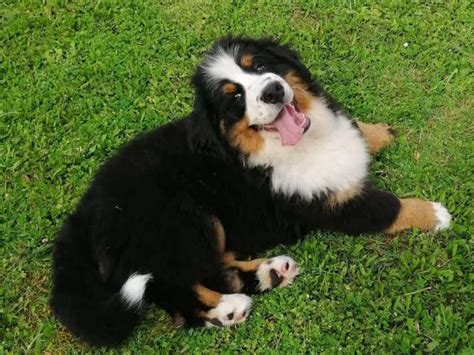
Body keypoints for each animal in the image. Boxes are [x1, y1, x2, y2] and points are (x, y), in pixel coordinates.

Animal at [51, 36, 452, 348]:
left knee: (214, 266)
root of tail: (82, 218)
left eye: (257, 65)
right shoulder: (333, 205)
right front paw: (435, 214)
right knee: (173, 288)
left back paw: (270, 272)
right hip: (183, 219)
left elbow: (354, 129)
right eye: (234, 98)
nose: (273, 90)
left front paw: (380, 132)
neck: (294, 146)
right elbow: (388, 207)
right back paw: (226, 309)